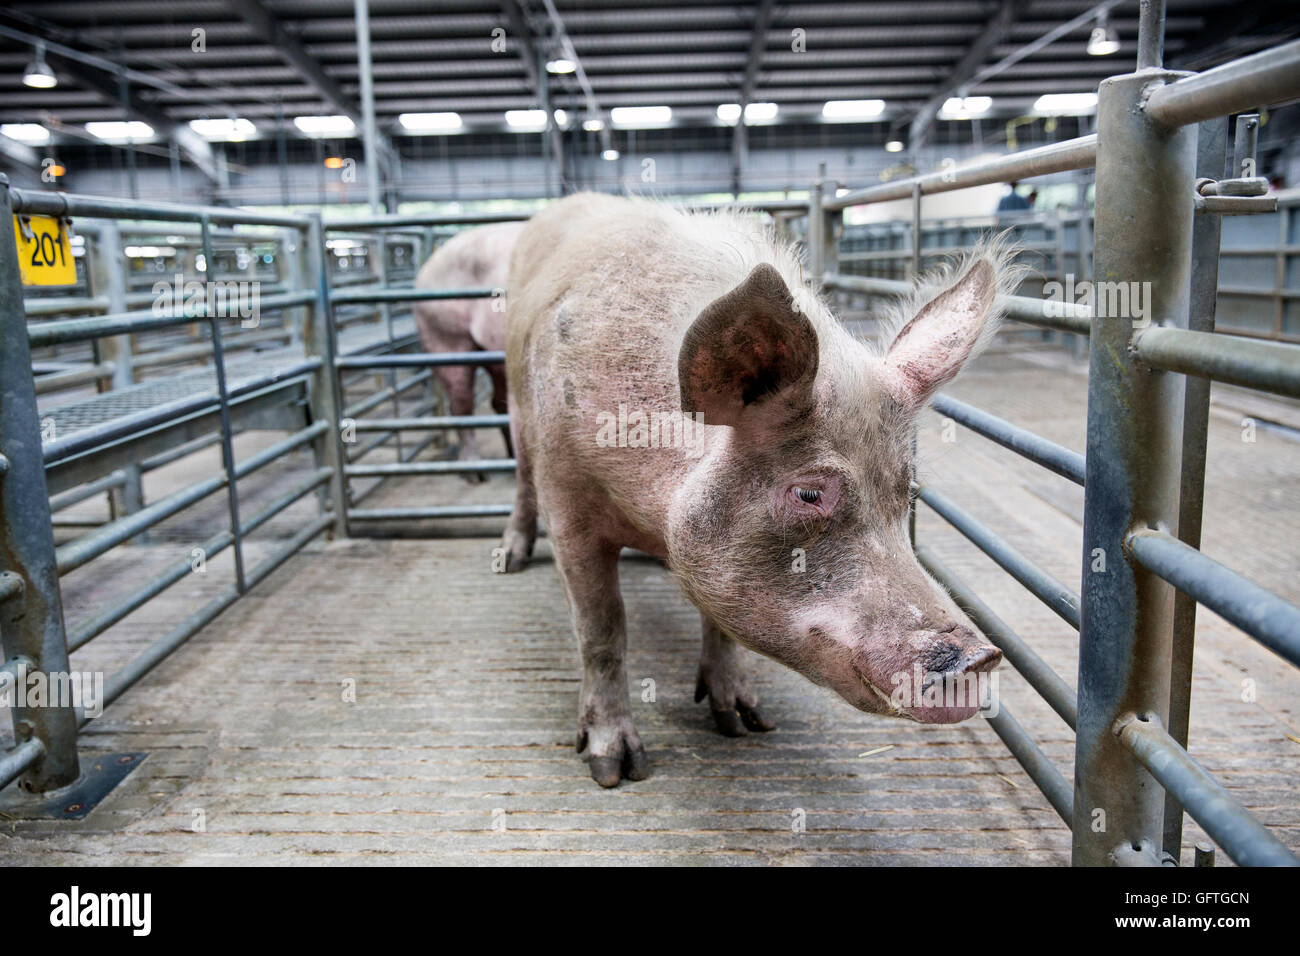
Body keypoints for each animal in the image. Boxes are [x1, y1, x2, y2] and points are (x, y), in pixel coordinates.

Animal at [500, 192, 1013, 787]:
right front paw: (616, 769)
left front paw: (744, 724)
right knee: (521, 477)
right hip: (518, 408)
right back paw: (509, 559)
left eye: (908, 492)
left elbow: (720, 626)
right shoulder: (569, 500)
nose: (979, 659)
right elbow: (602, 628)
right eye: (808, 495)